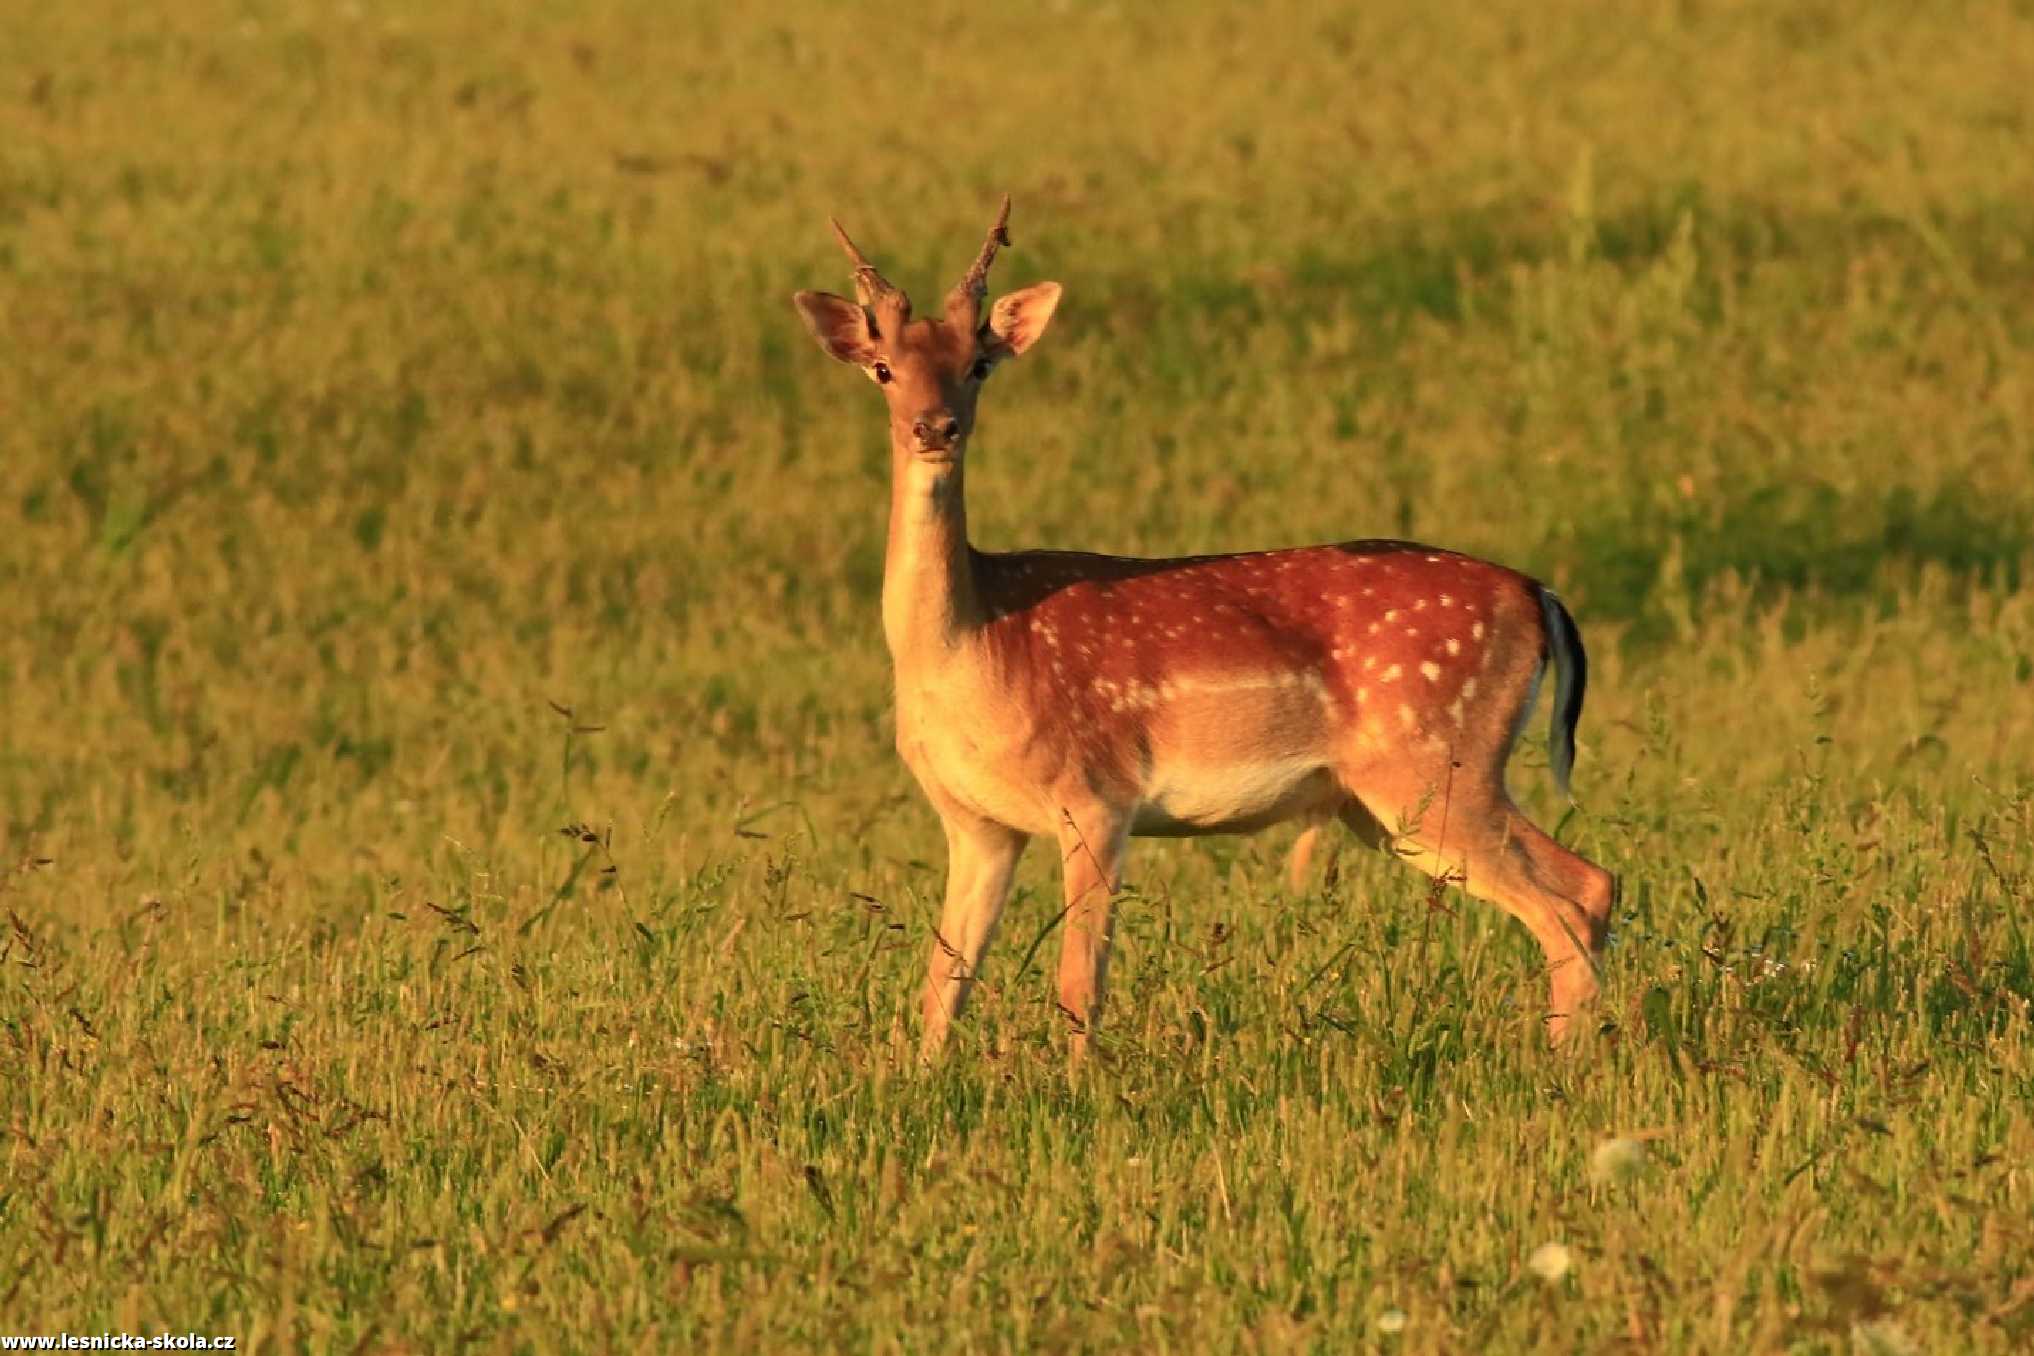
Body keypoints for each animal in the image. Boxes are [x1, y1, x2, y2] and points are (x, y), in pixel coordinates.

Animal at [793, 196, 1619, 1065]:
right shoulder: (977, 823)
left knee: (1576, 895)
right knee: (1585, 889)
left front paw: (1078, 1081)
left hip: (1436, 762)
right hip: (1393, 799)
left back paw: (1565, 1066)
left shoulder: (1096, 793)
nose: (935, 427)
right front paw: (917, 1077)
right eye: (884, 368)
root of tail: (1538, 593)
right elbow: (941, 983)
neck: (976, 643)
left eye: (979, 363)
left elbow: (1079, 983)